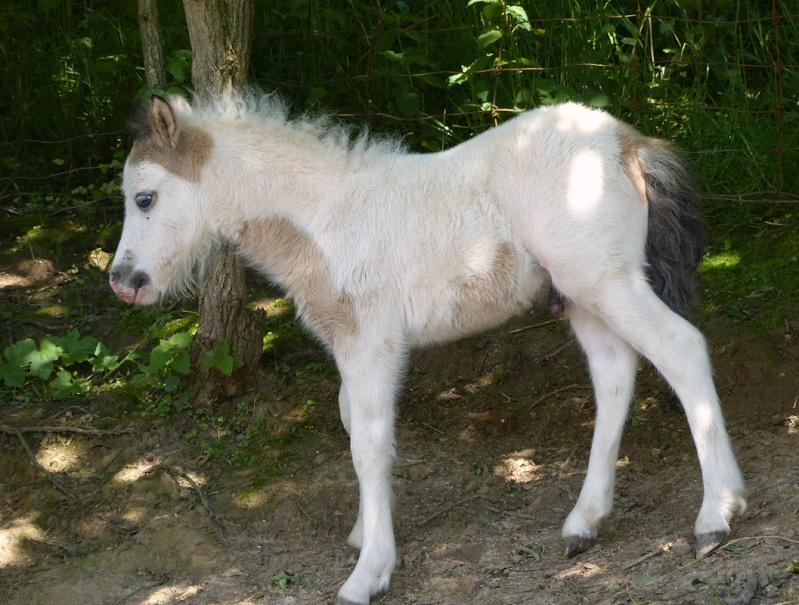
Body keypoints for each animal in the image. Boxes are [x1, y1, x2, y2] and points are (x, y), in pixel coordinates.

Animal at [109, 91, 748, 604]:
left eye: (144, 198)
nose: (123, 281)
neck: (325, 218)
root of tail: (626, 142)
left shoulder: (371, 342)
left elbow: (368, 446)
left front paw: (369, 574)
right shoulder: (350, 346)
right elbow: (349, 423)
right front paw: (363, 535)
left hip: (607, 281)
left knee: (682, 350)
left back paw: (716, 516)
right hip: (582, 295)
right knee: (615, 376)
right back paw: (584, 523)